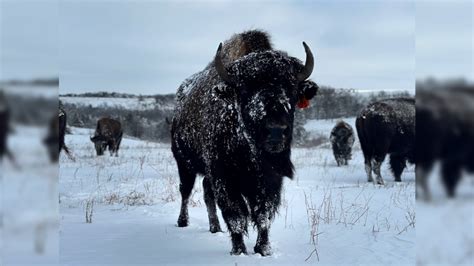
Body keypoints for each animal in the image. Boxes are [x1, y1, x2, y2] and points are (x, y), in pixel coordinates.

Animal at [170, 29, 318, 256]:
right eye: (245, 89)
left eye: (292, 89)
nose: (276, 131)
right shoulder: (225, 177)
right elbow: (237, 215)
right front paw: (238, 250)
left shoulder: (269, 180)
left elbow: (263, 214)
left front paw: (263, 249)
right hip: (184, 163)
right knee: (185, 191)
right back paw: (183, 221)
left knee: (206, 192)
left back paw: (215, 227)